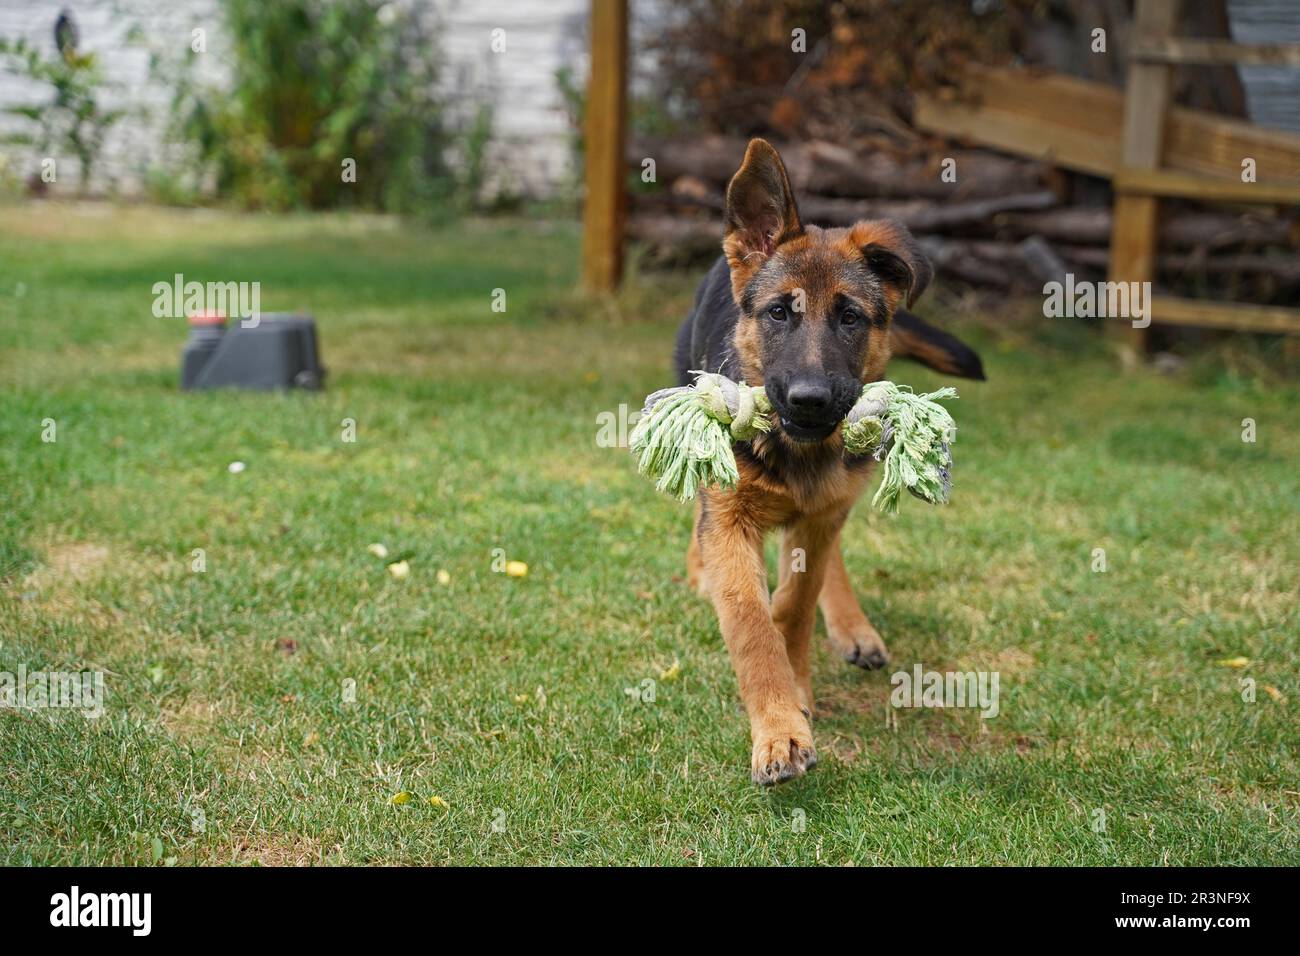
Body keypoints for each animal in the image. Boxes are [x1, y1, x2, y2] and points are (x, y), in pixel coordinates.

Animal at [676, 140, 977, 785]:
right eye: (779, 314)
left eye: (850, 317)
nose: (809, 399)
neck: (796, 450)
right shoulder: (731, 519)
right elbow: (750, 620)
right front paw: (778, 729)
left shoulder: (820, 513)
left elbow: (794, 604)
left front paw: (797, 688)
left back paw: (851, 626)